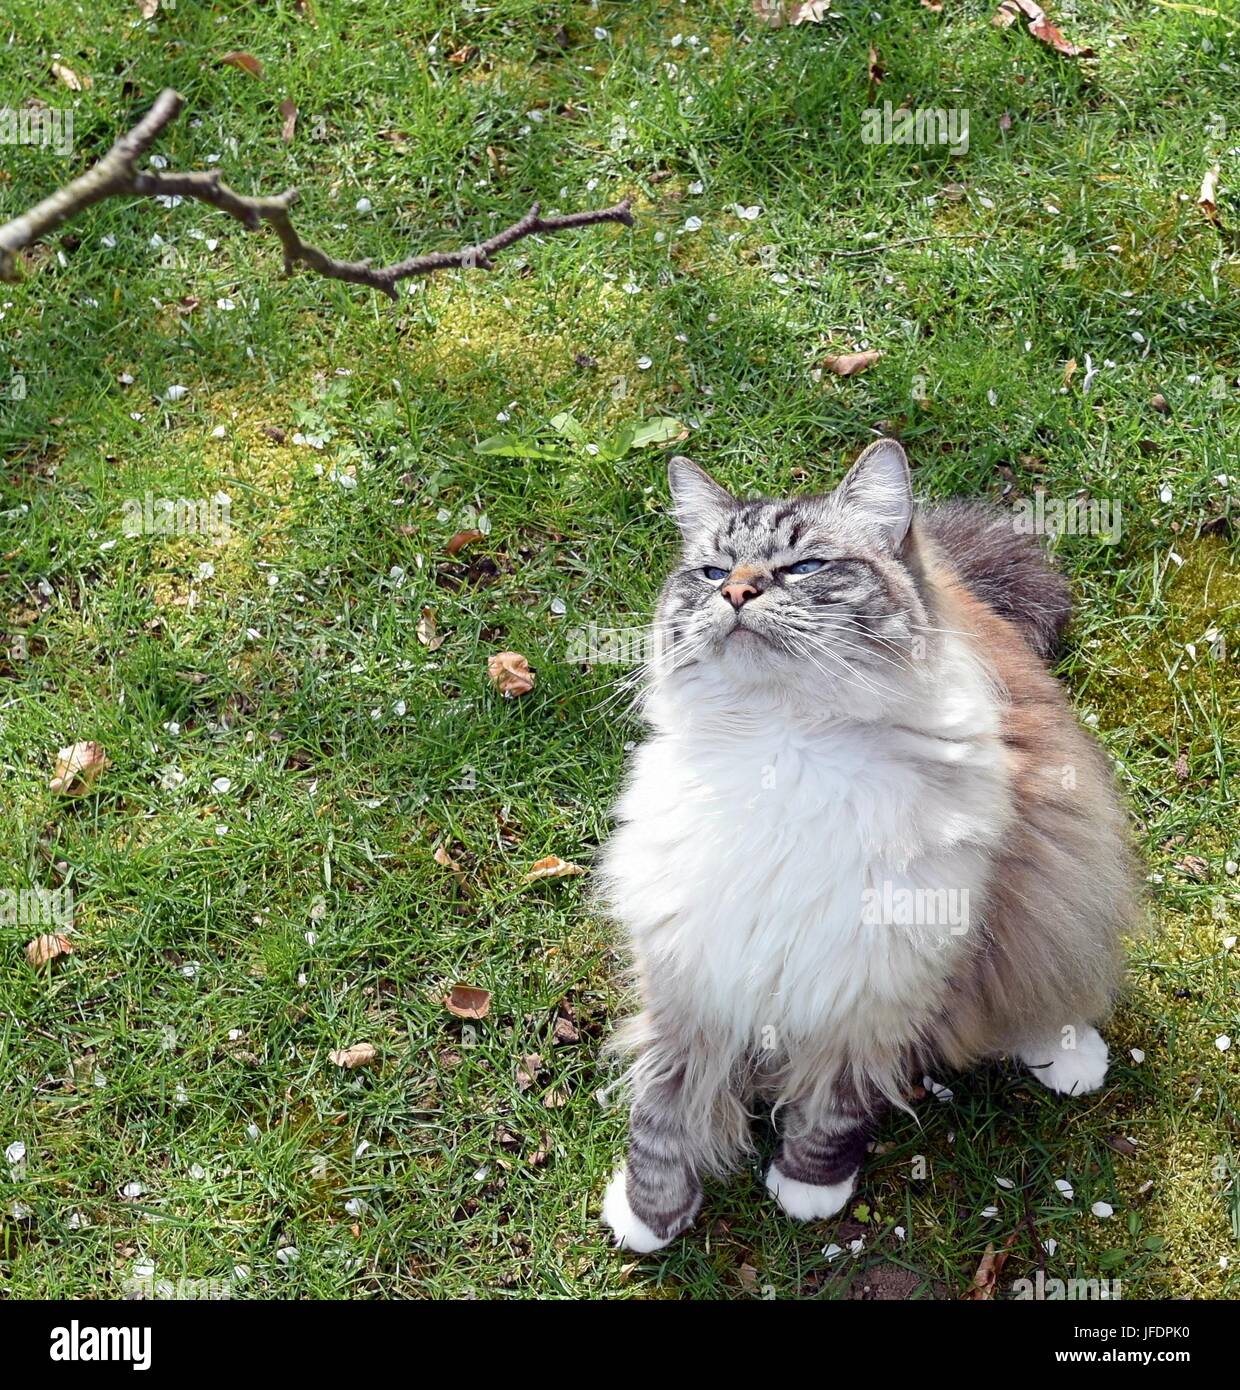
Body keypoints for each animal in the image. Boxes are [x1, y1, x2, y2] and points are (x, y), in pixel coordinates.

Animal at [594, 442, 1139, 1251]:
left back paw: (1070, 1058)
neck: (781, 749)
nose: (739, 594)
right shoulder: (692, 970)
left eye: (805, 567)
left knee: (1051, 987)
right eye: (714, 572)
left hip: (1048, 891)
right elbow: (661, 1118)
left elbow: (833, 1108)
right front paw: (649, 1215)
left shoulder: (872, 981)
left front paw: (808, 1188)